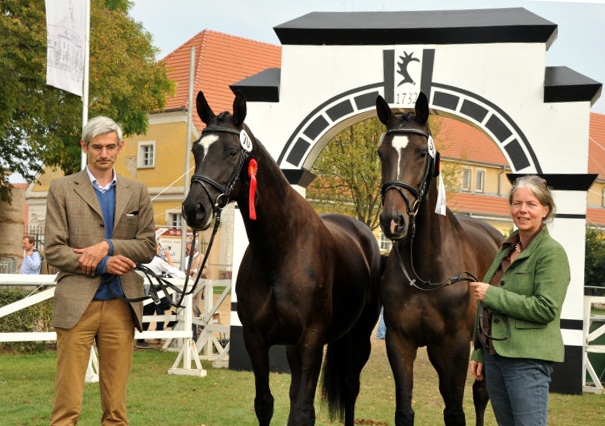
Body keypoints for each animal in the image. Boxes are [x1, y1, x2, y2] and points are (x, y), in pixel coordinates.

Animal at [179, 91, 380, 424]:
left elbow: (303, 411)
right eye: (197, 150)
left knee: (351, 390)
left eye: (232, 151)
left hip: (359, 337)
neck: (280, 252)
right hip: (293, 347)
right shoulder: (256, 340)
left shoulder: (312, 340)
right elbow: (266, 403)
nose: (194, 209)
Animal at [376, 91, 502, 424]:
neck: (427, 267)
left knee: (480, 393)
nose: (393, 221)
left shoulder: (456, 345)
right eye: (381, 154)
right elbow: (404, 410)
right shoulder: (400, 341)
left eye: (422, 153)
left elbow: (455, 411)